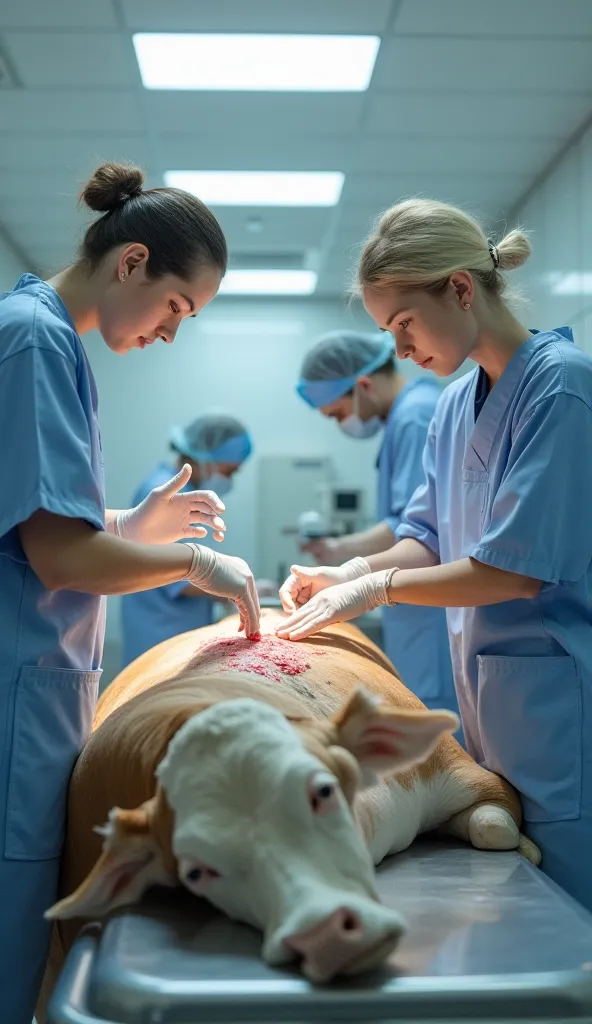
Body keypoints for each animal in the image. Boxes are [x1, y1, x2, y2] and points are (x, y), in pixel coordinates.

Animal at [42, 610, 540, 995]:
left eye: (322, 791)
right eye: (196, 872)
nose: (327, 936)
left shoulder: (454, 769)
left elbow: (494, 826)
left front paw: (527, 848)